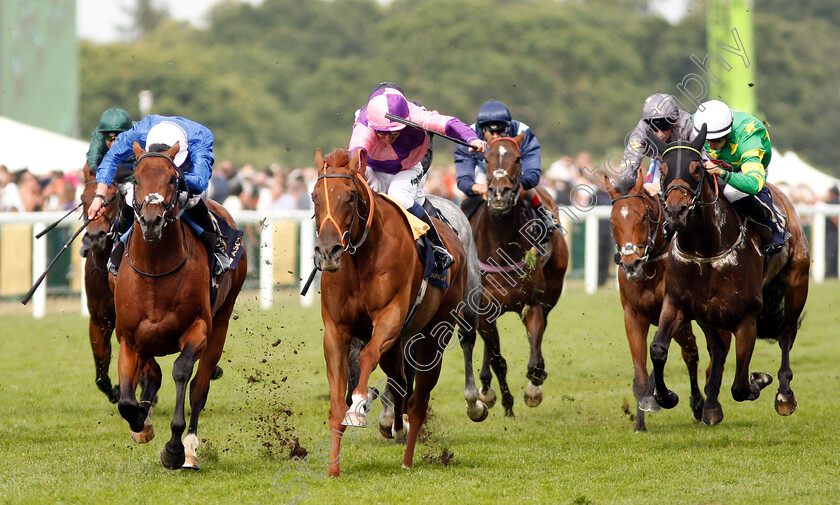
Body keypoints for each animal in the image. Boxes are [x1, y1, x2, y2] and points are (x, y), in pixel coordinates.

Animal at [110, 140, 246, 466]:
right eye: (136, 179)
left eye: (173, 179)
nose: (151, 221)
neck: (156, 273)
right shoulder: (129, 338)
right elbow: (126, 400)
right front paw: (141, 421)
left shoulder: (198, 329)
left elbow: (182, 372)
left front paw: (173, 448)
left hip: (221, 323)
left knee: (199, 387)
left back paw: (190, 450)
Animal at [314, 148, 470, 474]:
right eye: (314, 196)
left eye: (350, 196)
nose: (328, 251)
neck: (360, 259)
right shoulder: (336, 330)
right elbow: (336, 404)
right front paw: (333, 469)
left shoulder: (390, 317)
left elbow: (366, 357)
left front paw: (359, 405)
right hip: (397, 343)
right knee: (399, 381)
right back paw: (397, 427)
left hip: (436, 334)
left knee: (418, 399)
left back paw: (408, 460)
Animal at [472, 132, 572, 416]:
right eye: (486, 158)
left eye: (517, 158)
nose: (499, 193)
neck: (501, 247)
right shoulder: (484, 310)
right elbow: (498, 360)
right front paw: (505, 404)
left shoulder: (532, 304)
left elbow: (535, 361)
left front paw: (533, 390)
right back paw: (486, 389)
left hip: (553, 287)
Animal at [604, 166, 728, 430]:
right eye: (612, 221)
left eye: (643, 216)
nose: (631, 264)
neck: (652, 268)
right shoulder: (633, 317)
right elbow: (641, 373)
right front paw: (640, 422)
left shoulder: (675, 312)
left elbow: (683, 353)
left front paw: (674, 399)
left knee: (710, 350)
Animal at [648, 124, 812, 424]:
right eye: (662, 170)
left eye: (696, 169)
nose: (676, 212)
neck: (706, 249)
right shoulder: (678, 304)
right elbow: (658, 348)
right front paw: (666, 396)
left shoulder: (746, 317)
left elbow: (740, 386)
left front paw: (760, 380)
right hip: (709, 315)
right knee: (718, 349)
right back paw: (712, 405)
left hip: (797, 283)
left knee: (786, 334)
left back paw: (784, 394)